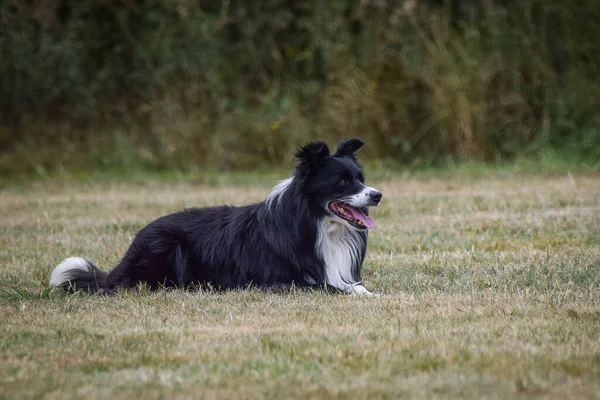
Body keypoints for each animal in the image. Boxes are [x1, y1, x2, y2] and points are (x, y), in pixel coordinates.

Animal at [49, 138, 382, 294]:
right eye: (342, 181)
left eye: (360, 178)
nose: (377, 195)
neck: (317, 224)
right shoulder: (281, 281)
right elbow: (336, 287)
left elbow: (354, 285)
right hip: (166, 243)